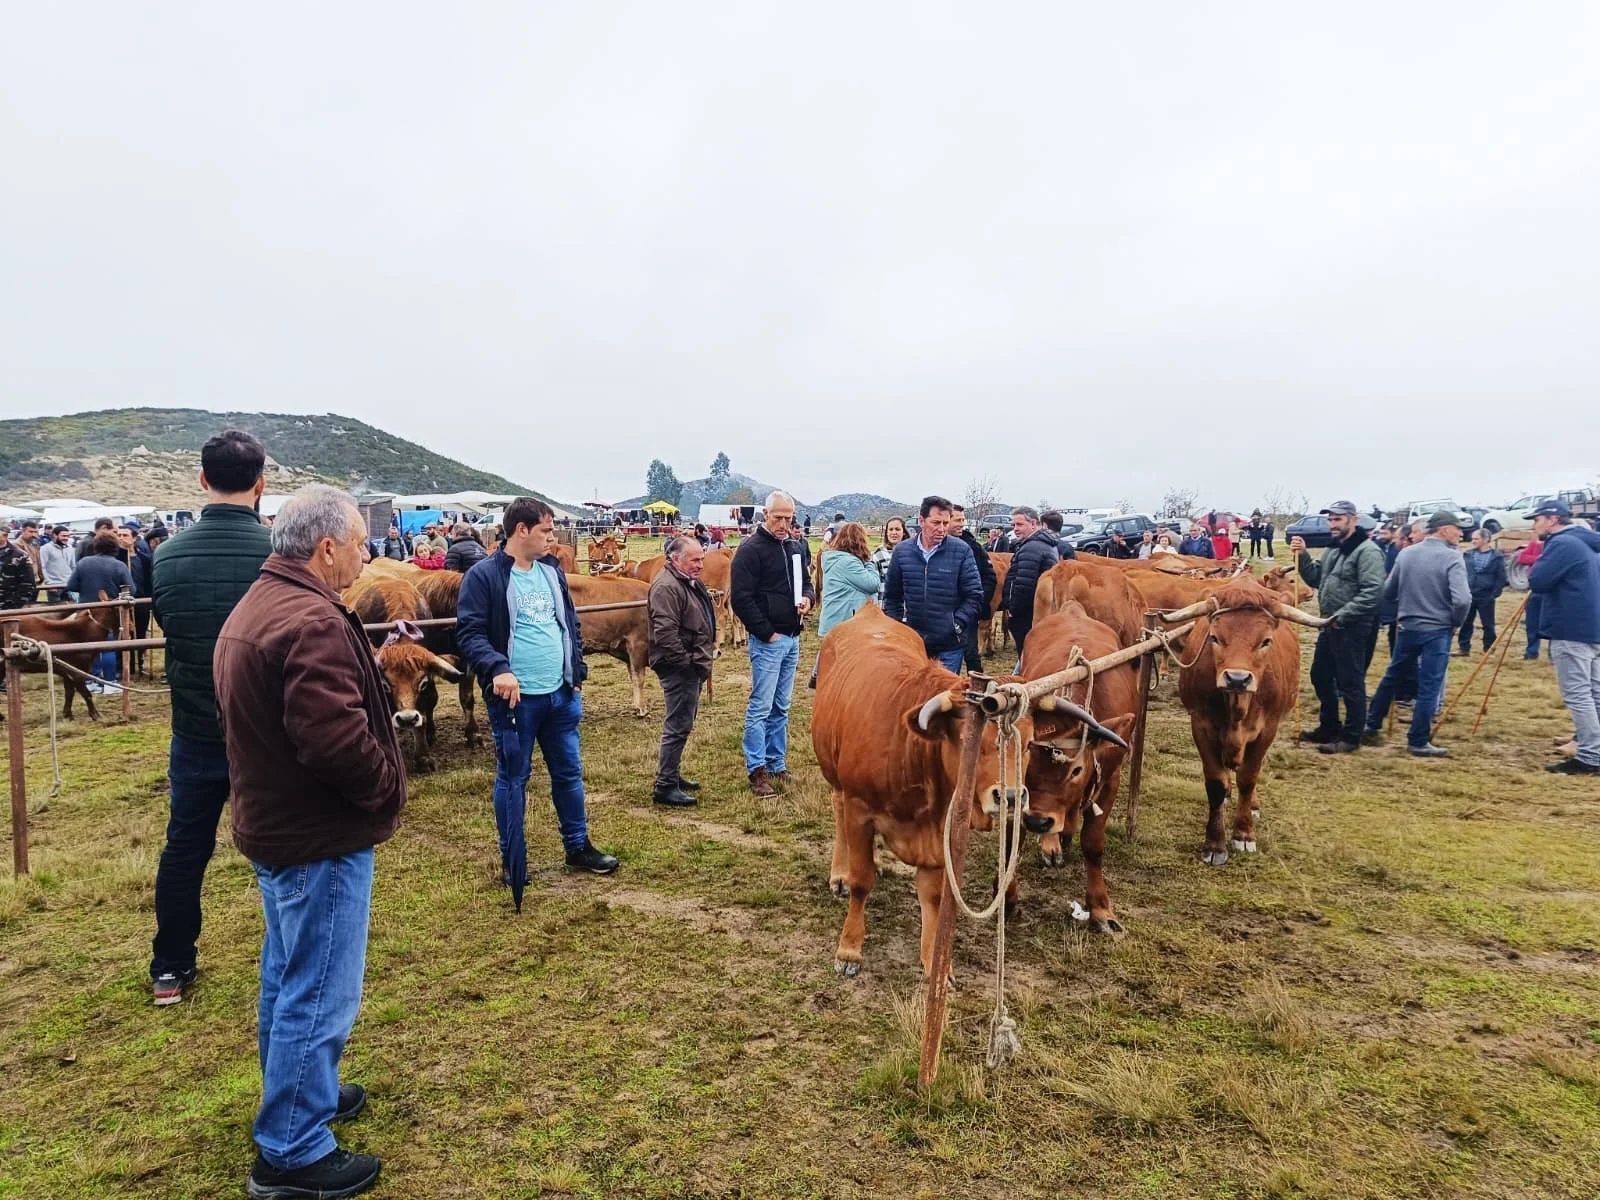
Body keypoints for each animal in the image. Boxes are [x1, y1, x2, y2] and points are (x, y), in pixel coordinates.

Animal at [812, 611, 1036, 979]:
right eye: (970, 741)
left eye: (1029, 745)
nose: (1011, 796)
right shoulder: (860, 809)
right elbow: (861, 881)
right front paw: (849, 949)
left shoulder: (940, 831)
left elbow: (932, 895)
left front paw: (934, 960)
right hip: (835, 778)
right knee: (838, 811)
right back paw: (839, 873)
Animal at [1011, 598, 1139, 934]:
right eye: (1026, 762)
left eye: (1077, 770)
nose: (1038, 821)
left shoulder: (1110, 779)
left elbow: (1093, 844)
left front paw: (1101, 910)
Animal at [1164, 579, 1324, 864]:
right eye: (1215, 637)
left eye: (1265, 641)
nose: (1237, 679)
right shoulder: (1201, 726)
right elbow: (1216, 783)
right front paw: (1215, 844)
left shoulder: (1267, 730)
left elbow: (1249, 779)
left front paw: (1244, 833)